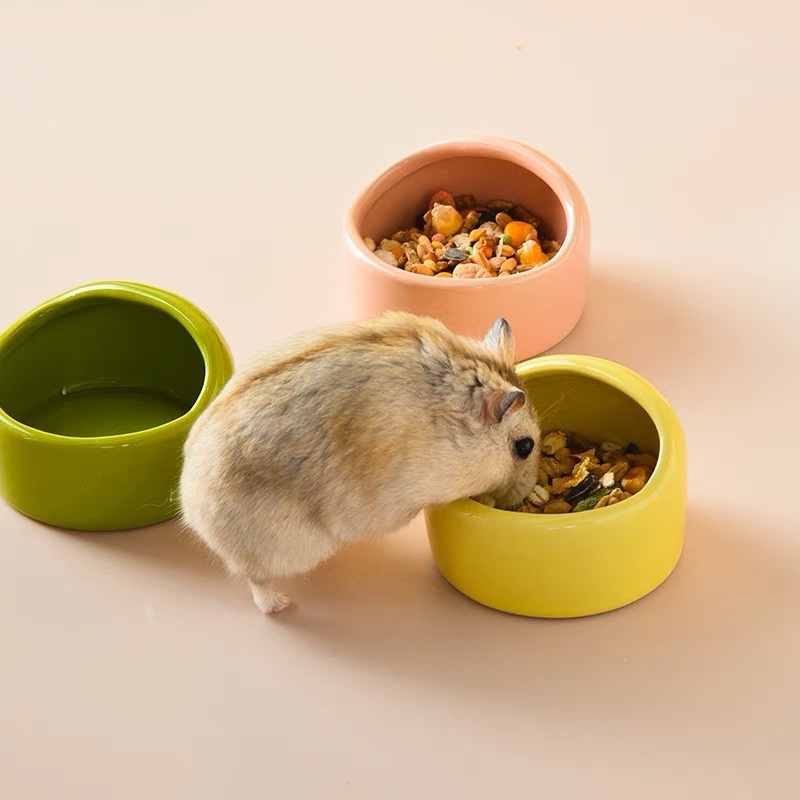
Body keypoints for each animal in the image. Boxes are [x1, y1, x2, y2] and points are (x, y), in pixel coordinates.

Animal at [179, 311, 541, 614]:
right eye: (525, 446)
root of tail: (192, 515)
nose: (527, 494)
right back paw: (280, 604)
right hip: (288, 549)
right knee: (256, 580)